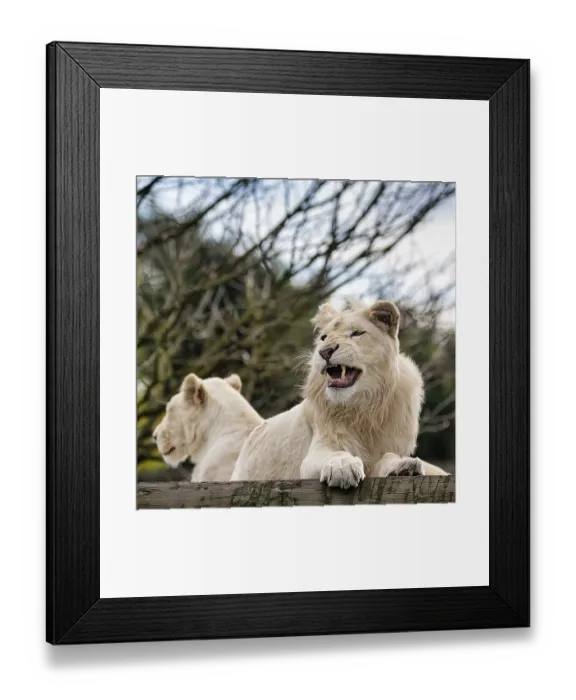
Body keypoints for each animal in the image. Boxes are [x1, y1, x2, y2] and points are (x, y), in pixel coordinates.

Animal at [232, 299, 448, 488]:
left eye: (357, 333)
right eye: (323, 338)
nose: (325, 351)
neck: (364, 407)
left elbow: (388, 457)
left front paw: (402, 466)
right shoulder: (316, 451)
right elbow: (335, 454)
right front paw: (343, 468)